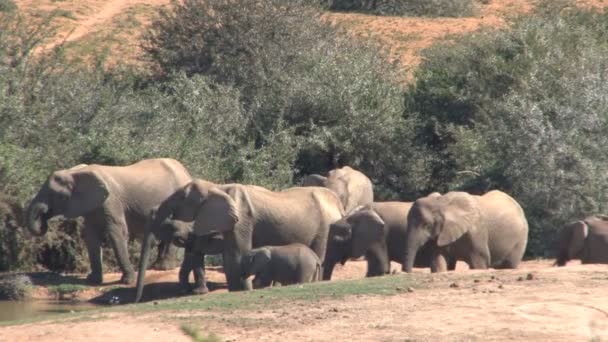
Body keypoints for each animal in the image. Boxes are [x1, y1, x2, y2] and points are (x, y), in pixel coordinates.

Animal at [26, 159, 191, 284]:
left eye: (59, 197)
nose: (44, 221)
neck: (76, 172)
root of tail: (185, 170)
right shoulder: (91, 206)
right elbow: (91, 237)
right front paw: (92, 280)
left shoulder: (111, 202)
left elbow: (116, 232)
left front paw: (127, 281)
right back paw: (158, 266)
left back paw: (163, 268)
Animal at [137, 180, 342, 300]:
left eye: (180, 198)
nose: (137, 300)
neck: (217, 187)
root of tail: (338, 204)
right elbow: (195, 253)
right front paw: (195, 292)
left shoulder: (241, 220)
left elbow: (235, 255)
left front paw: (237, 291)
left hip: (325, 227)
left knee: (320, 255)